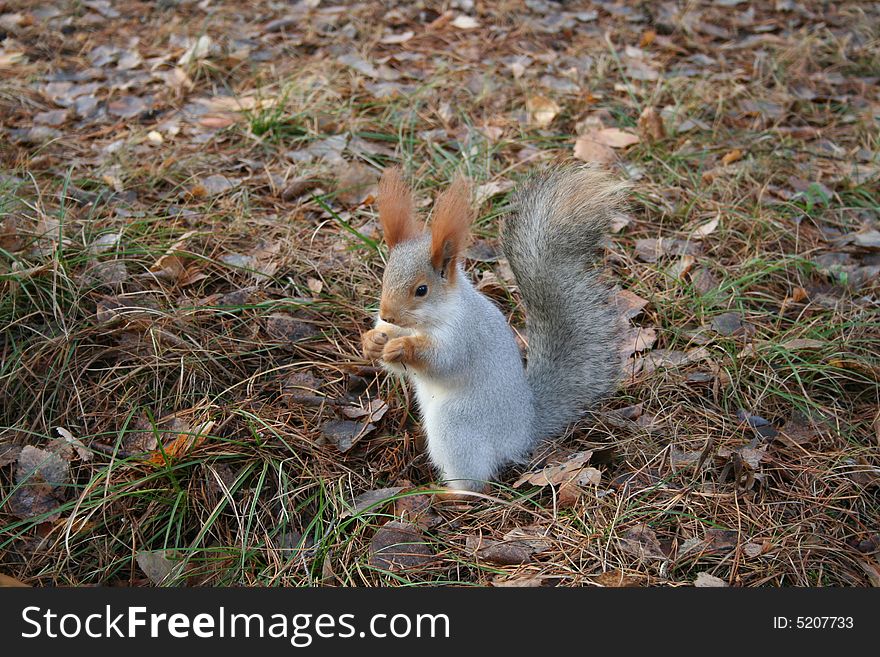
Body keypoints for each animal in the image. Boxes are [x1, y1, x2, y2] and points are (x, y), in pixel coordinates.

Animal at [360, 164, 628, 492]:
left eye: (421, 290)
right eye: (385, 276)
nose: (387, 315)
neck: (423, 322)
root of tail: (522, 431)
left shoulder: (465, 334)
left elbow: (444, 361)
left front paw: (404, 347)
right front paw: (373, 341)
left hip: (457, 426)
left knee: (475, 483)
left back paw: (448, 494)